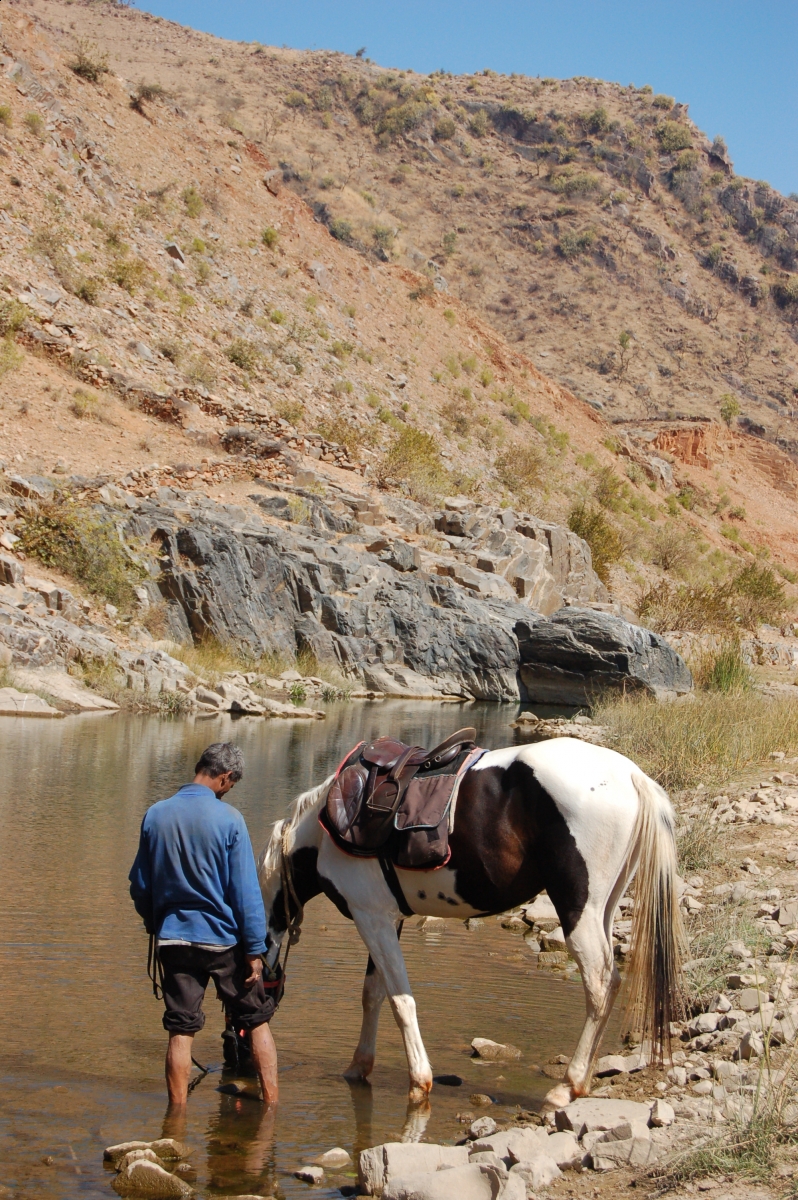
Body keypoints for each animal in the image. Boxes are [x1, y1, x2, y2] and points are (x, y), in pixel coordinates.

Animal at [257, 736, 686, 1112]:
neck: (322, 837)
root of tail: (632, 775)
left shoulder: (371, 918)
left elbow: (400, 1001)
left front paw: (419, 1081)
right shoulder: (386, 920)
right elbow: (373, 994)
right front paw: (357, 1068)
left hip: (578, 910)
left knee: (599, 984)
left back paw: (568, 1086)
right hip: (604, 908)